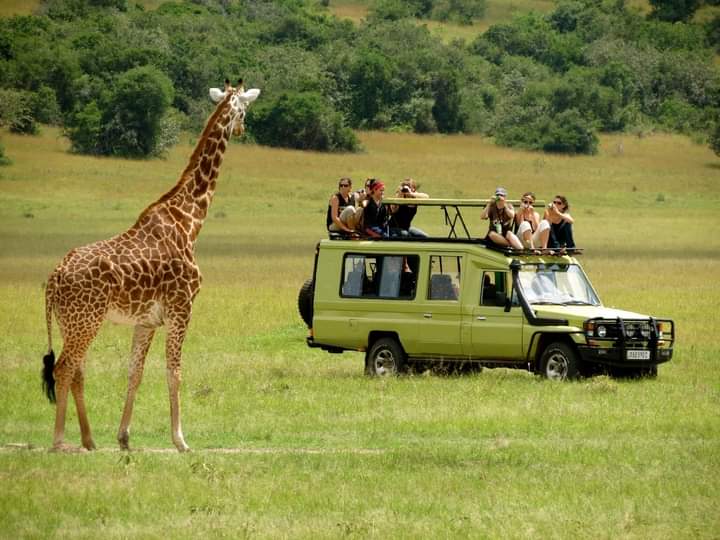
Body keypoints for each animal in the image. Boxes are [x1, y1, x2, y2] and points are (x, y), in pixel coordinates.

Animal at [41, 79, 260, 452]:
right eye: (244, 111)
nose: (243, 128)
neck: (190, 220)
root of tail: (55, 277)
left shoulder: (146, 321)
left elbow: (135, 372)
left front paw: (124, 438)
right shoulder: (181, 308)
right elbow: (174, 372)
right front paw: (181, 441)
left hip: (71, 321)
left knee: (77, 370)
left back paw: (89, 439)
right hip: (86, 320)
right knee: (64, 368)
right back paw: (58, 441)